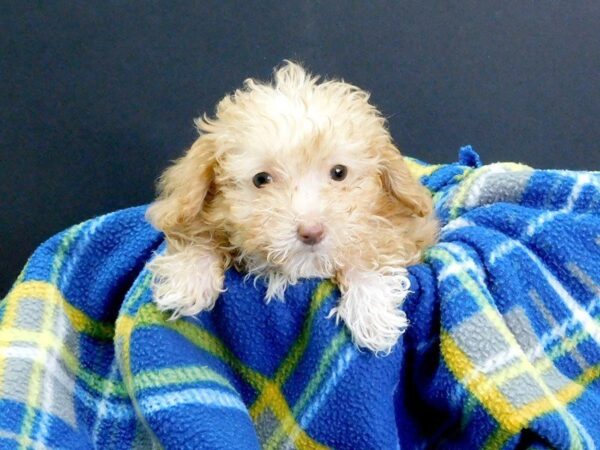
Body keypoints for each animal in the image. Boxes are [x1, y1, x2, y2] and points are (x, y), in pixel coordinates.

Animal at [145, 60, 436, 356]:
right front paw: (188, 279)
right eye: (261, 179)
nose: (312, 231)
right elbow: (199, 235)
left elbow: (371, 250)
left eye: (339, 172)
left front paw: (371, 311)